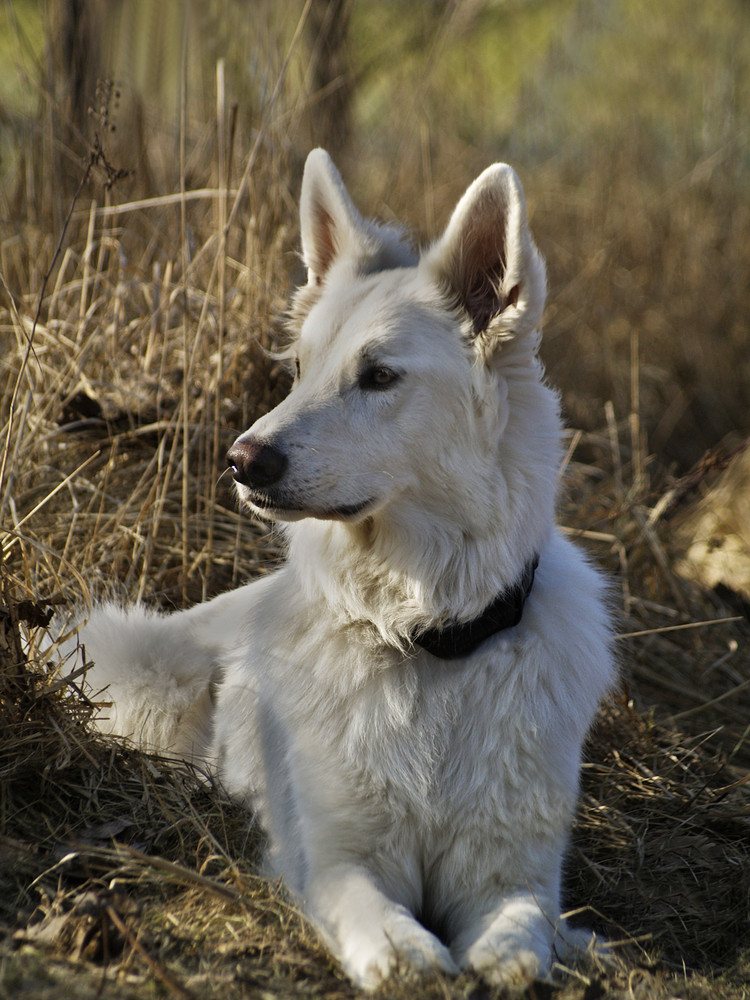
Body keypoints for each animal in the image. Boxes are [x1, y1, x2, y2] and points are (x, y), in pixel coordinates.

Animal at [78, 152, 616, 988]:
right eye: (300, 368)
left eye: (380, 376)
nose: (241, 461)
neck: (429, 637)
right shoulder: (340, 859)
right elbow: (376, 914)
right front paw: (410, 956)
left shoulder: (513, 871)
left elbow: (521, 923)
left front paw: (510, 956)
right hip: (148, 686)